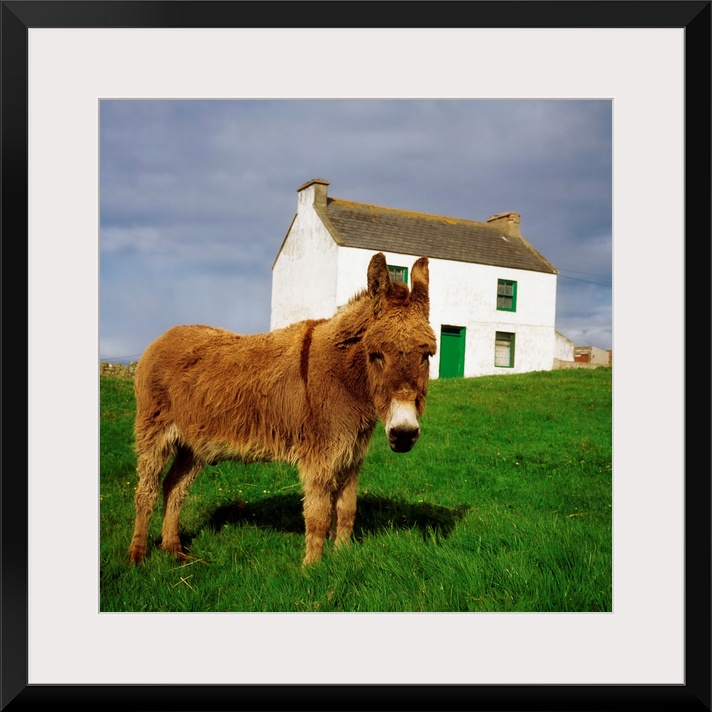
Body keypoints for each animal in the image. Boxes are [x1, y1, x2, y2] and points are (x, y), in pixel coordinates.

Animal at [128, 252, 437, 566]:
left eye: (426, 356)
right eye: (376, 355)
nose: (403, 434)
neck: (344, 377)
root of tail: (160, 339)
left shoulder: (351, 457)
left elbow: (347, 510)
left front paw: (341, 558)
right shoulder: (320, 457)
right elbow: (318, 515)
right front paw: (312, 567)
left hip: (193, 444)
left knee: (174, 487)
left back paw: (173, 549)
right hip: (154, 431)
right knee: (146, 491)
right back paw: (137, 556)